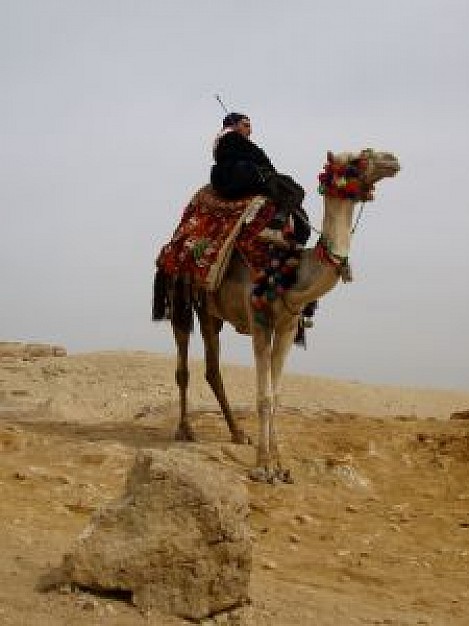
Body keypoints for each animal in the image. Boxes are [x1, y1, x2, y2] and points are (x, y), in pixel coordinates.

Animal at [154, 149, 398, 480]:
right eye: (355, 160)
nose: (392, 159)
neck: (286, 270)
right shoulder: (260, 321)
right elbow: (264, 397)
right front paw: (262, 467)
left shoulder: (287, 325)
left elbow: (277, 395)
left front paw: (280, 465)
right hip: (179, 293)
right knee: (183, 365)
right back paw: (185, 429)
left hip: (210, 311)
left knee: (212, 367)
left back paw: (237, 433)